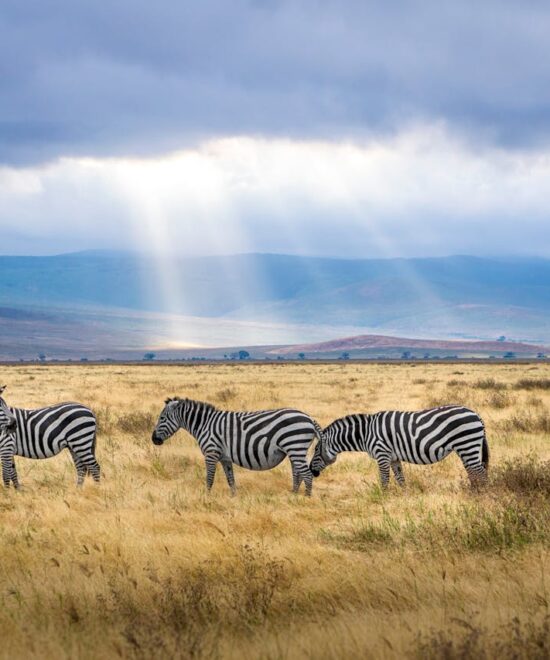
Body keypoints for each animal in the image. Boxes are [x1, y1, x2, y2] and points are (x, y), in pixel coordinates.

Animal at [151, 398, 324, 496]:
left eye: (162, 418)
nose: (153, 440)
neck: (204, 424)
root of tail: (309, 418)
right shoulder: (225, 458)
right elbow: (230, 479)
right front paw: (234, 498)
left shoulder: (211, 453)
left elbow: (209, 478)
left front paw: (206, 497)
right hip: (295, 450)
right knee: (298, 473)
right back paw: (293, 496)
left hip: (295, 446)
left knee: (307, 475)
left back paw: (305, 499)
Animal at [310, 404, 492, 488]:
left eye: (316, 450)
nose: (312, 471)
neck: (366, 433)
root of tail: (476, 414)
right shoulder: (393, 458)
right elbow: (400, 479)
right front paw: (404, 497)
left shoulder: (382, 454)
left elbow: (384, 479)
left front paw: (383, 499)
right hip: (466, 448)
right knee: (473, 471)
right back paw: (473, 492)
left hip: (467, 444)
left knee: (480, 472)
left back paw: (482, 495)